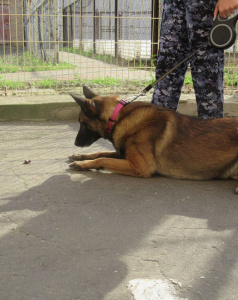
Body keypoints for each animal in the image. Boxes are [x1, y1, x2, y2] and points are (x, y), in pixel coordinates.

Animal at [68, 84, 238, 183]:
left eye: (82, 123)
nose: (75, 143)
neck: (117, 117)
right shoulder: (124, 154)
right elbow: (100, 152)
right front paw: (80, 156)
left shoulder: (140, 166)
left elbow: (102, 159)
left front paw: (82, 164)